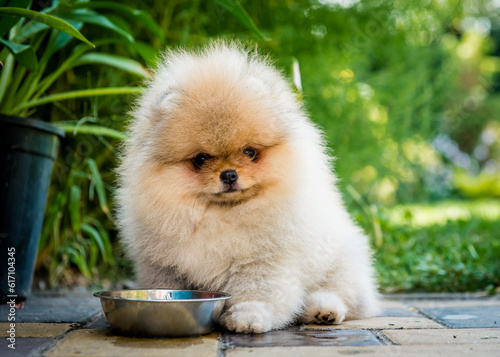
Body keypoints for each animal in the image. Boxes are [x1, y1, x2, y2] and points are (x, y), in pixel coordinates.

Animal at [117, 41, 380, 334]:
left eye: (249, 152)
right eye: (200, 159)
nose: (229, 175)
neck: (221, 215)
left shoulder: (262, 261)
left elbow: (257, 293)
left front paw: (248, 318)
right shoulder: (164, 265)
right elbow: (169, 284)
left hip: (342, 263)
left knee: (346, 297)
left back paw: (323, 310)